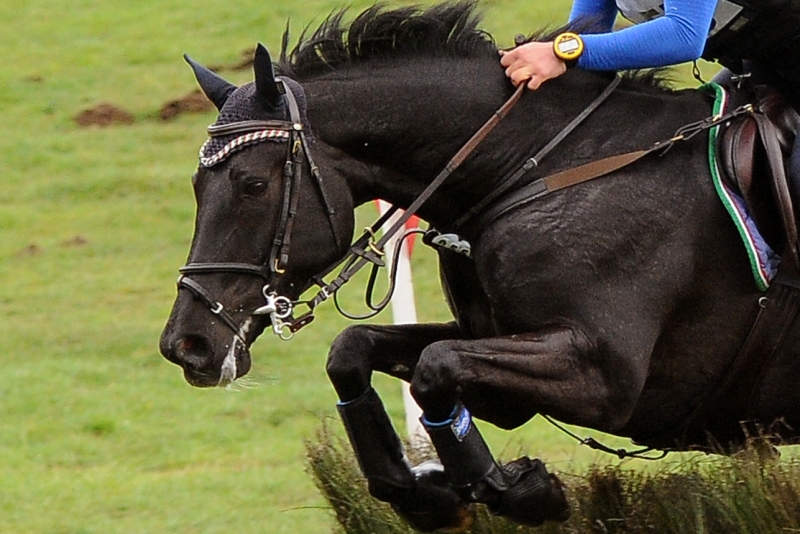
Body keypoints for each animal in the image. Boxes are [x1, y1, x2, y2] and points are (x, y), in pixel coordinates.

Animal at [159, 2, 800, 532]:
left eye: (252, 184)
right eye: (196, 185)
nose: (186, 345)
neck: (538, 168)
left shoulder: (603, 373)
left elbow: (436, 368)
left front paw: (522, 491)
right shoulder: (490, 340)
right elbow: (354, 351)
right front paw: (424, 495)